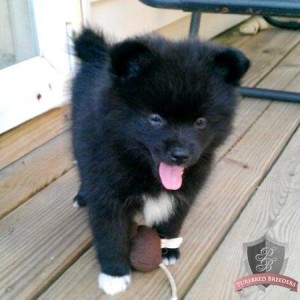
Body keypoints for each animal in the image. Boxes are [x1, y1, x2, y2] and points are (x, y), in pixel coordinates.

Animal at [71, 28, 250, 296]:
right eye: (155, 118)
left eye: (200, 122)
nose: (181, 155)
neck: (143, 168)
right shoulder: (106, 190)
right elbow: (111, 232)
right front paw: (114, 274)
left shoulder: (186, 191)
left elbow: (173, 220)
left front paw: (167, 249)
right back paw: (82, 196)